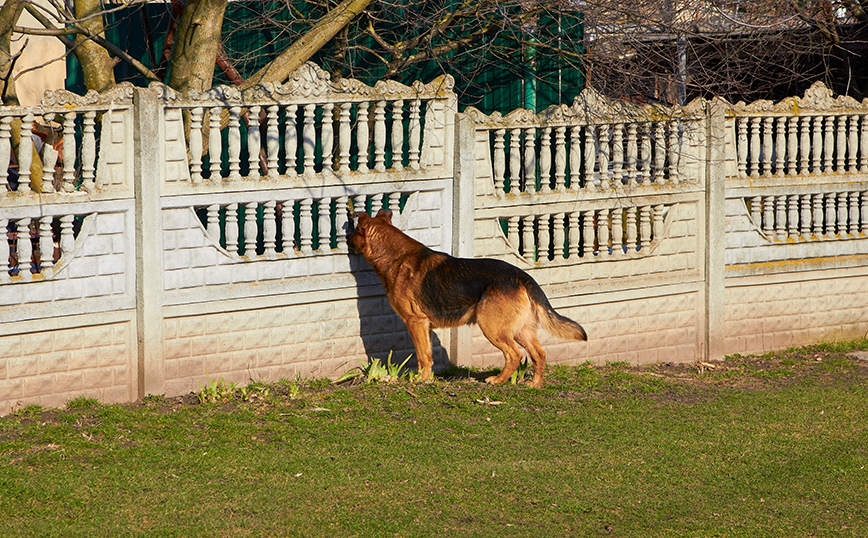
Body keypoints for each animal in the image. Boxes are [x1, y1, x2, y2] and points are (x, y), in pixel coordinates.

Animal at [350, 208, 588, 386]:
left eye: (353, 232)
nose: (346, 239)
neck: (396, 257)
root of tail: (522, 276)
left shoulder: (415, 322)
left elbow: (422, 355)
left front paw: (421, 380)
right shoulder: (424, 326)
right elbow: (427, 354)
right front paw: (427, 378)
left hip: (492, 327)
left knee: (514, 355)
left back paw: (498, 380)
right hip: (521, 331)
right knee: (539, 354)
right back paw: (535, 385)